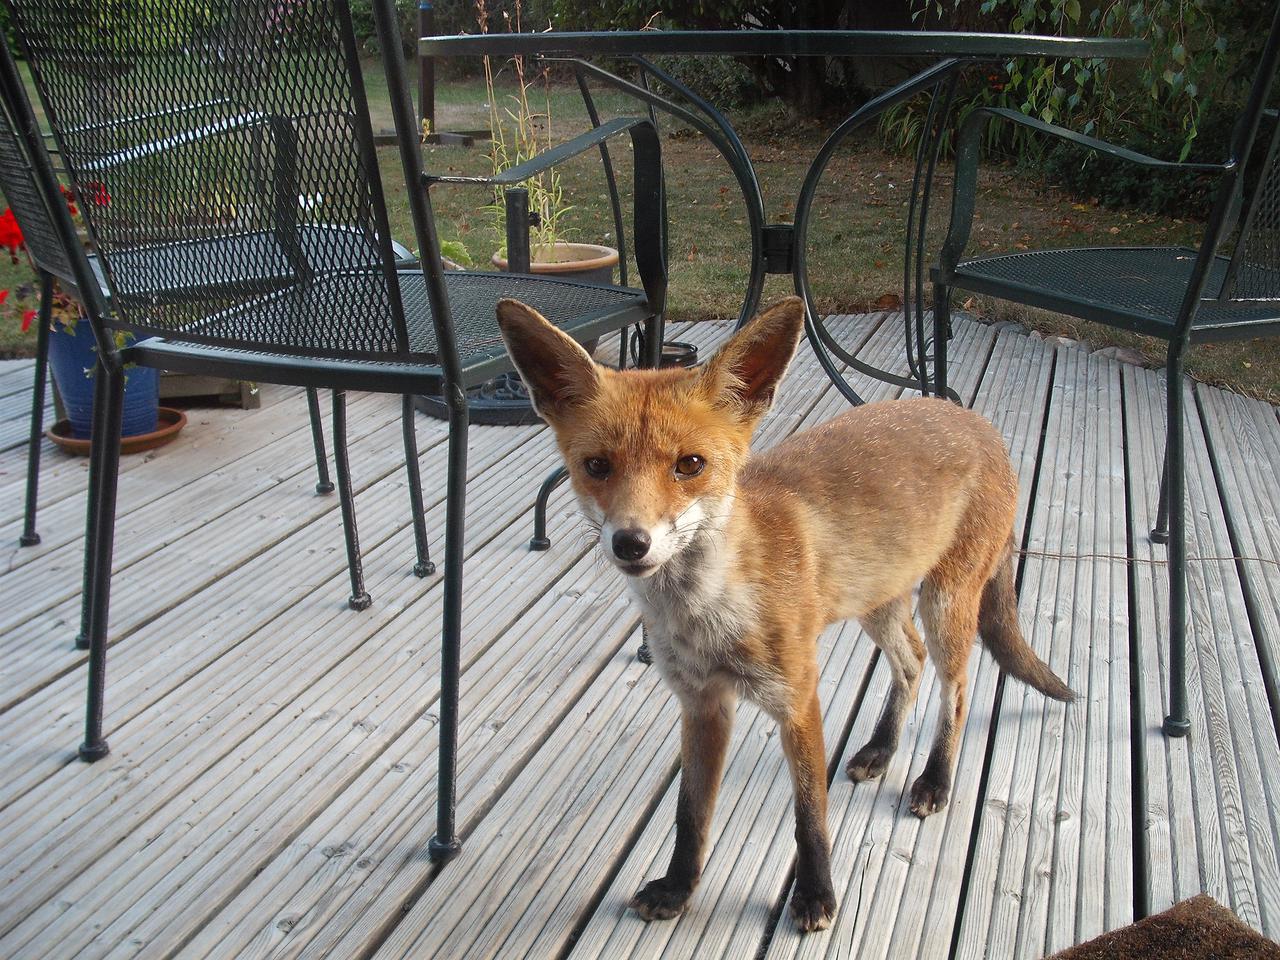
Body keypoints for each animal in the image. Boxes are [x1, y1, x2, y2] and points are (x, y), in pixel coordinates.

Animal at [496, 294, 1074, 932]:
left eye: (689, 464)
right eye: (597, 466)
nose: (631, 543)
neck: (709, 613)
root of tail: (970, 416)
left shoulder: (797, 700)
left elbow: (810, 817)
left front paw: (817, 895)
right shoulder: (702, 704)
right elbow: (690, 814)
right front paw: (678, 888)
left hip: (944, 602)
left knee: (958, 689)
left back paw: (934, 780)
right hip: (876, 602)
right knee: (911, 662)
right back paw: (881, 749)